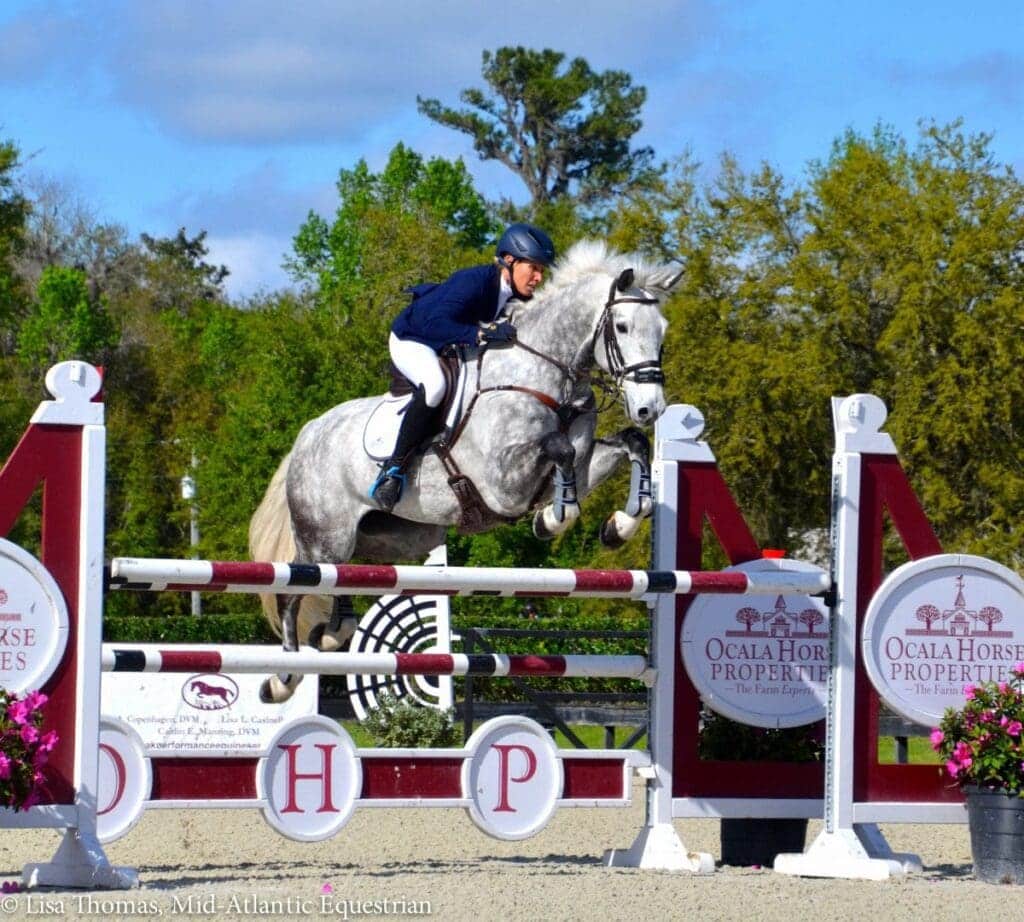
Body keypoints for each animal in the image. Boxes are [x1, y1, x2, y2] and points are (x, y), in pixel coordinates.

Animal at [246, 241, 679, 700]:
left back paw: (329, 636)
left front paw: (617, 526)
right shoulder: (503, 483)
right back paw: (282, 679)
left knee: (343, 584)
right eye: (623, 326)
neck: (546, 375)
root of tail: (307, 435)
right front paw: (552, 520)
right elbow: (558, 450)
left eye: (662, 330)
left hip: (392, 538)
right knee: (293, 591)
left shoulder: (576, 464)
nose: (651, 408)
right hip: (323, 538)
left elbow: (630, 444)